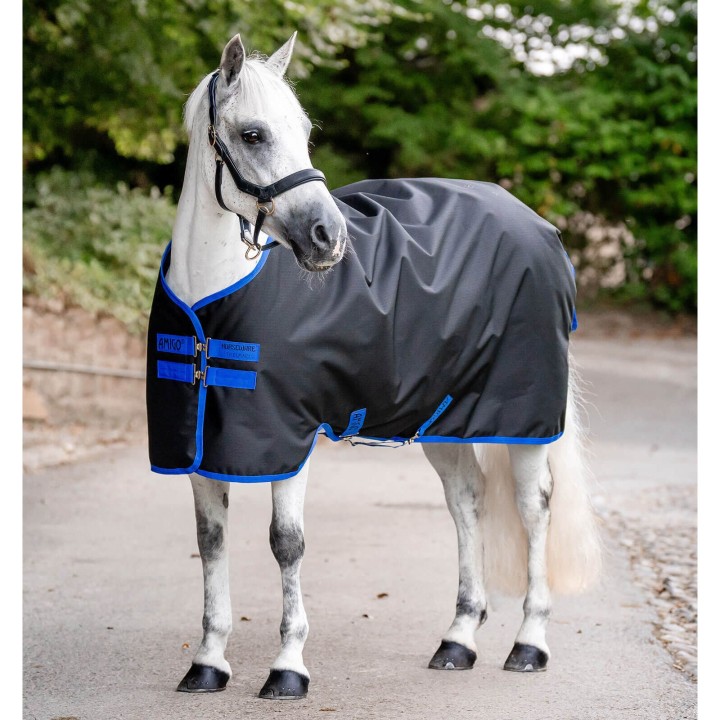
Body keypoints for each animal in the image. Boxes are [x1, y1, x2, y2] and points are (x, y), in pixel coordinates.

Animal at [145, 32, 602, 700]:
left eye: (305, 130)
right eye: (253, 134)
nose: (328, 237)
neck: (212, 303)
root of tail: (539, 226)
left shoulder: (291, 438)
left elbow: (287, 544)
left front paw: (288, 668)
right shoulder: (203, 446)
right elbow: (211, 544)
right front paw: (208, 662)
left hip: (524, 417)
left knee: (533, 506)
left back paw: (529, 643)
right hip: (444, 419)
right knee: (467, 501)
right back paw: (458, 640)